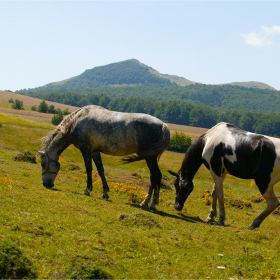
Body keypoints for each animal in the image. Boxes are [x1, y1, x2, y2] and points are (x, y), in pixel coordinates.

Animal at [38, 104, 171, 209]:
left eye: (43, 164)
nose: (45, 184)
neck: (76, 122)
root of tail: (163, 125)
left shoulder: (85, 149)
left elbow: (89, 169)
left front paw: (87, 190)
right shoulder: (95, 152)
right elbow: (100, 170)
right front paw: (105, 193)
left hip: (150, 158)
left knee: (156, 176)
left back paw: (151, 204)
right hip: (151, 157)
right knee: (154, 177)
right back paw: (146, 202)